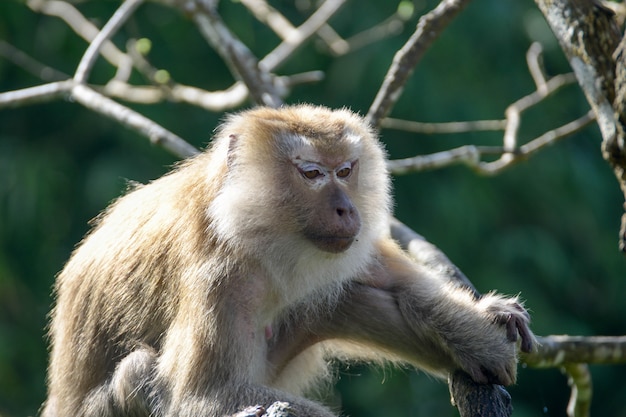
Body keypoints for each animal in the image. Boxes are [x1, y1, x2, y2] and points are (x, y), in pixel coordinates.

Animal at [42, 104, 532, 416]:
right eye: (312, 173)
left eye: (346, 170)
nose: (346, 209)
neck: (249, 228)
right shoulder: (218, 275)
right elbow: (206, 397)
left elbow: (391, 277)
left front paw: (484, 324)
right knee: (137, 372)